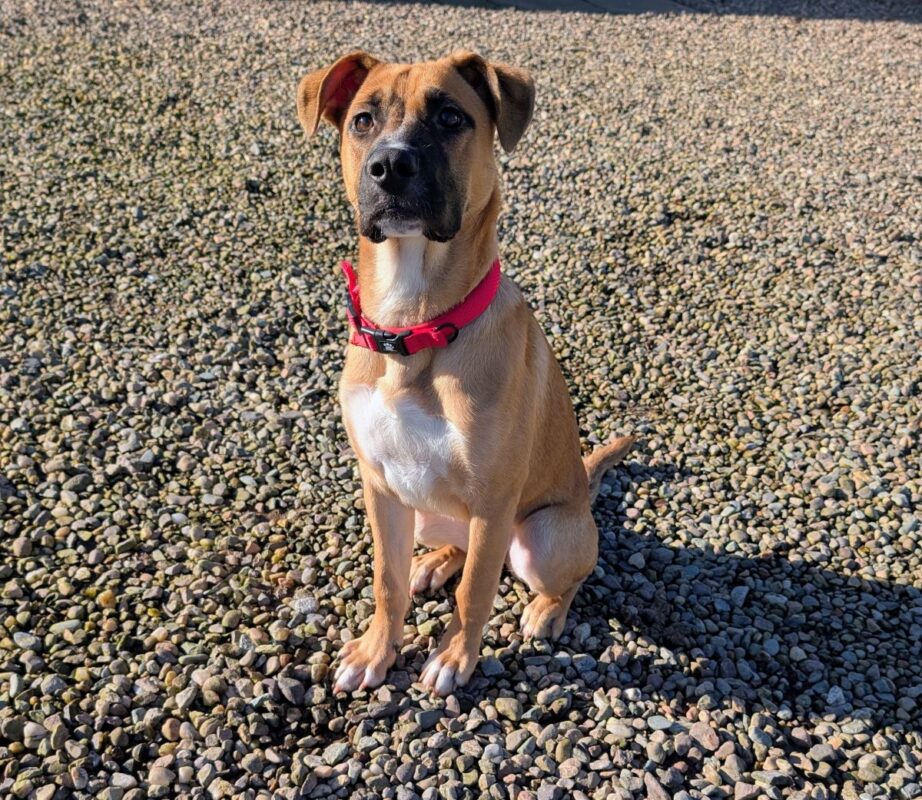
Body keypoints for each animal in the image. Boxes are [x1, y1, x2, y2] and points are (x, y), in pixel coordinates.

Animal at [296, 50, 635, 696]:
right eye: (362, 120)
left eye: (451, 117)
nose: (389, 166)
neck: (415, 326)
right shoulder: (380, 486)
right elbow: (387, 580)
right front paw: (376, 650)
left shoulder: (494, 498)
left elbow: (475, 591)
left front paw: (456, 657)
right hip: (427, 512)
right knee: (455, 548)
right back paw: (434, 562)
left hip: (544, 537)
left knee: (561, 573)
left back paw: (545, 611)